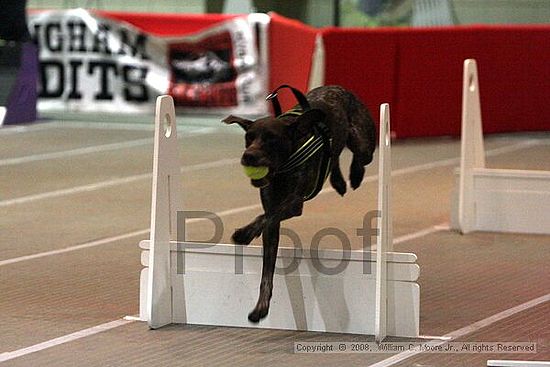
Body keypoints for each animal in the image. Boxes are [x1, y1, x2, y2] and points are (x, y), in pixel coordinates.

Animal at [222, 85, 378, 324]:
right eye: (249, 137)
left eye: (272, 139)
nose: (248, 156)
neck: (282, 169)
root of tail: (338, 88)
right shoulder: (273, 223)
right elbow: (267, 270)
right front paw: (261, 307)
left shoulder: (294, 204)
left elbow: (267, 216)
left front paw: (244, 233)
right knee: (335, 156)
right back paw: (339, 181)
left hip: (364, 143)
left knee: (360, 157)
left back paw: (355, 175)